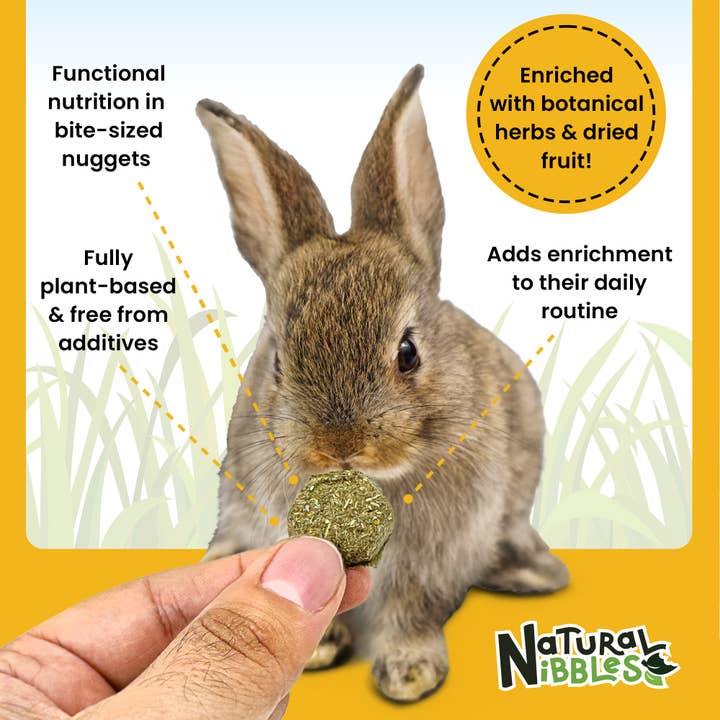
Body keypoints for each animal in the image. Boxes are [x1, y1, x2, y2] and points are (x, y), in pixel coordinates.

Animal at [196, 64, 569, 703]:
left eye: (408, 352)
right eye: (277, 363)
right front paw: (321, 647)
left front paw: (409, 673)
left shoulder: (435, 560)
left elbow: (413, 611)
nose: (341, 447)